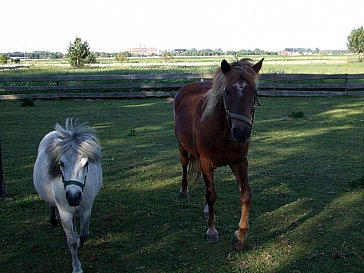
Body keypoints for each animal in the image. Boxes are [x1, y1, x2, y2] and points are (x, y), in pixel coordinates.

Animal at [33, 118, 102, 272]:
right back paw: (53, 219)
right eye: (61, 163)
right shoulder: (65, 212)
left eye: (86, 163)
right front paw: (77, 267)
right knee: (52, 205)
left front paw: (80, 241)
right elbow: (71, 242)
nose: (73, 197)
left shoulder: (86, 209)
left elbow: (84, 234)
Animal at [174, 57, 264, 249]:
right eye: (227, 92)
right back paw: (184, 191)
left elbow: (246, 195)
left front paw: (240, 236)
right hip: (182, 147)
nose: (241, 133)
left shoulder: (239, 162)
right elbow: (212, 195)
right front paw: (211, 231)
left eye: (254, 93)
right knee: (185, 165)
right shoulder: (207, 163)